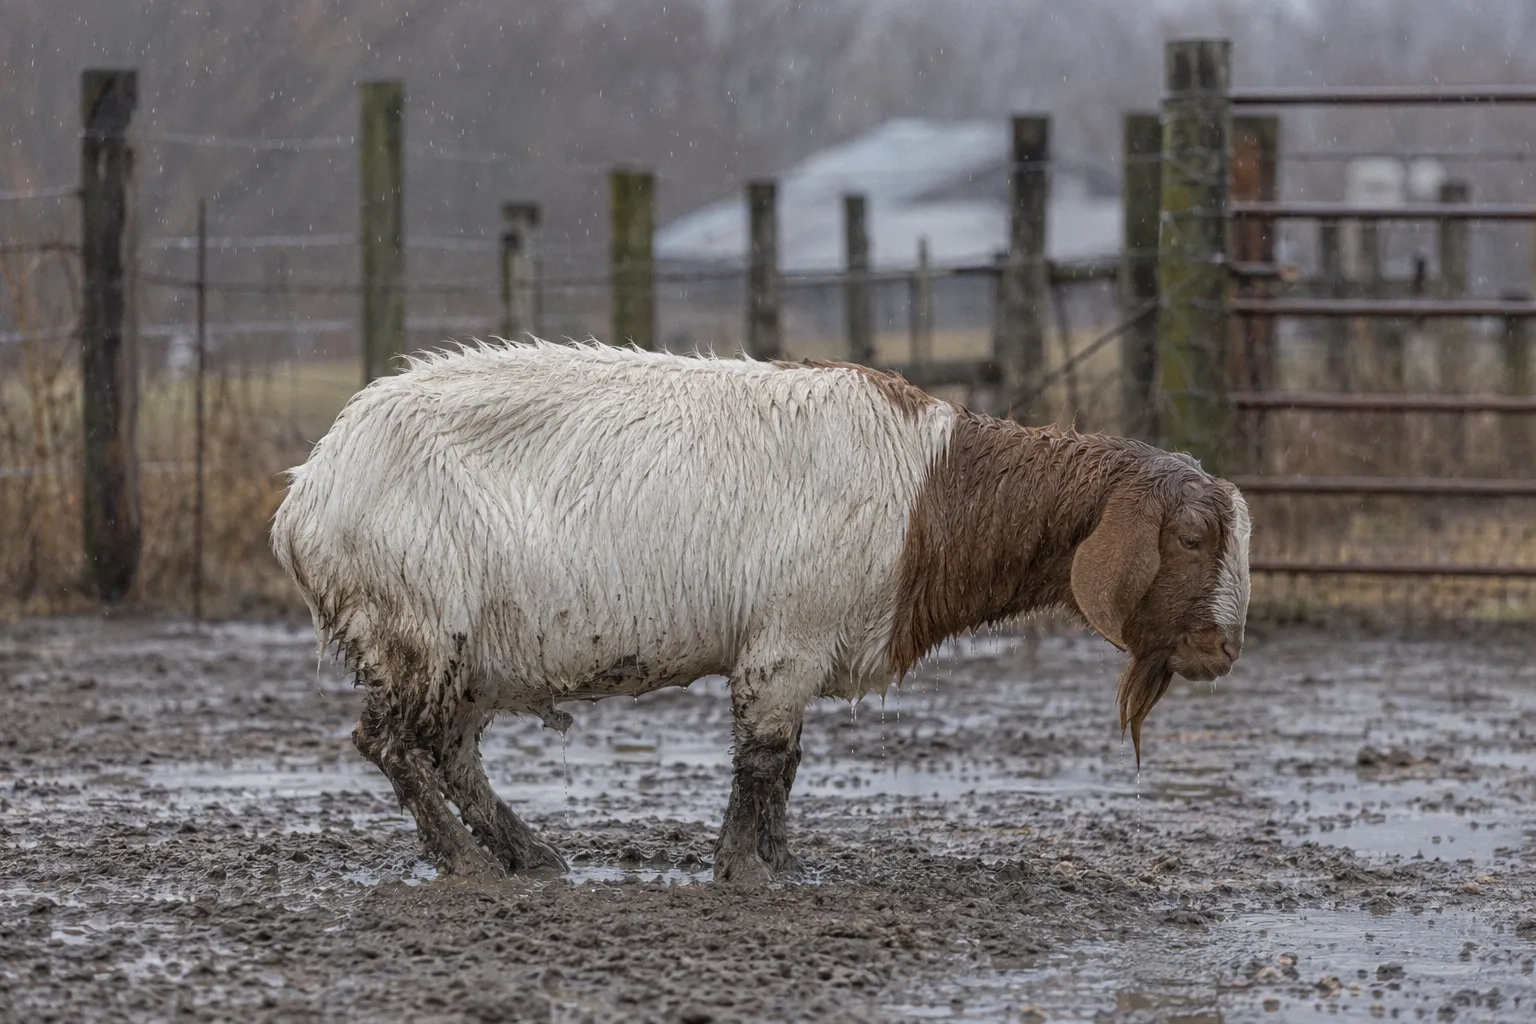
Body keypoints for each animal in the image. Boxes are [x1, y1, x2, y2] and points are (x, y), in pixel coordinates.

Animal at [270, 341, 1251, 885]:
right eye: (1193, 536)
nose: (1220, 651)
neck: (929, 493)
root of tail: (306, 494)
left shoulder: (805, 649)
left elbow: (786, 766)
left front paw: (784, 862)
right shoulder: (786, 641)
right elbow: (766, 759)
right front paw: (748, 869)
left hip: (470, 656)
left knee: (450, 752)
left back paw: (531, 855)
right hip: (411, 621)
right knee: (390, 743)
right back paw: (468, 862)